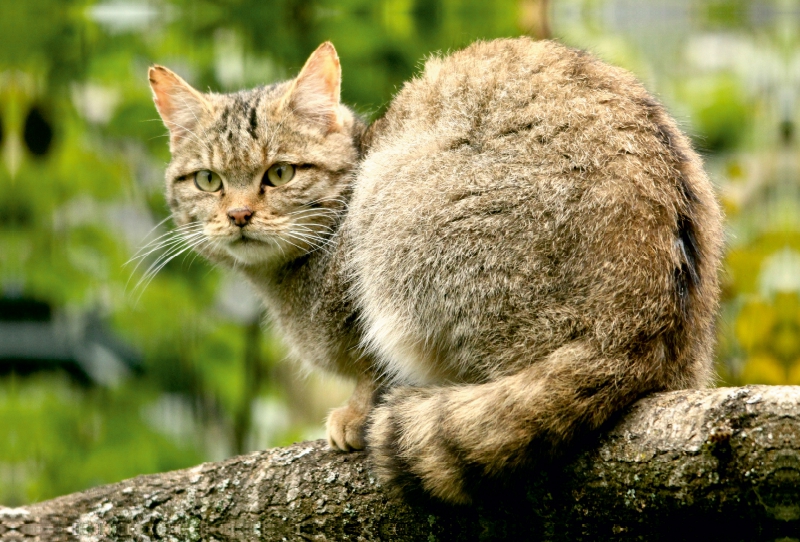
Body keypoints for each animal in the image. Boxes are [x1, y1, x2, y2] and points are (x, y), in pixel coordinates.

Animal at [148, 37, 724, 506]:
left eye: (280, 173)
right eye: (207, 181)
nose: (238, 215)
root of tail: (636, 335)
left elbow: (372, 369)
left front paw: (356, 413)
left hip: (398, 212)